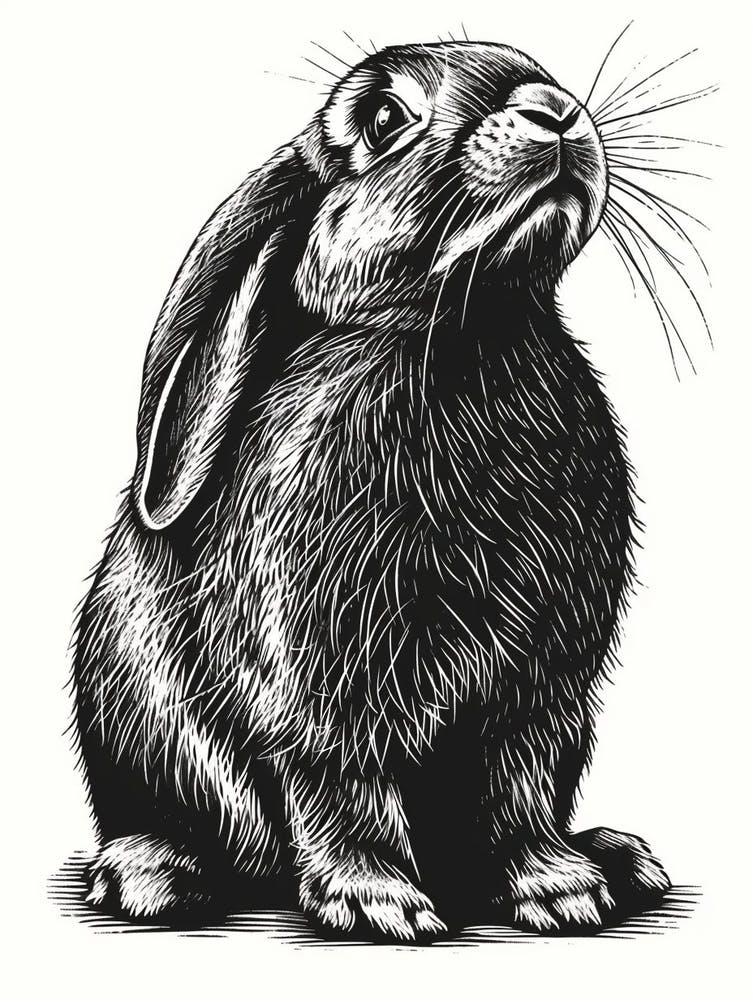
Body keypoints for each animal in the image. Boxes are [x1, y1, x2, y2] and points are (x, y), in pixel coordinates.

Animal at [74, 40, 671, 941]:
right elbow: (341, 780)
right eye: (385, 117)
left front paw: (559, 890)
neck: (463, 329)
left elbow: (518, 784)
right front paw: (376, 902)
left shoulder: (538, 691)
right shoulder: (323, 681)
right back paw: (154, 877)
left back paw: (619, 858)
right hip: (140, 716)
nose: (555, 109)